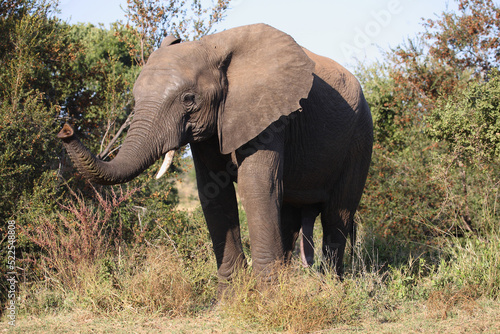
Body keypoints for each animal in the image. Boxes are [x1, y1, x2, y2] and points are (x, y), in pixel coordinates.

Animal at [57, 23, 372, 290]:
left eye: (188, 99)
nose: (65, 129)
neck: (212, 47)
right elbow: (213, 192)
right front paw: (229, 298)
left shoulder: (269, 115)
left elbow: (257, 185)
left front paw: (267, 300)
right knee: (291, 215)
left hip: (360, 138)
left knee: (337, 214)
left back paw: (330, 287)